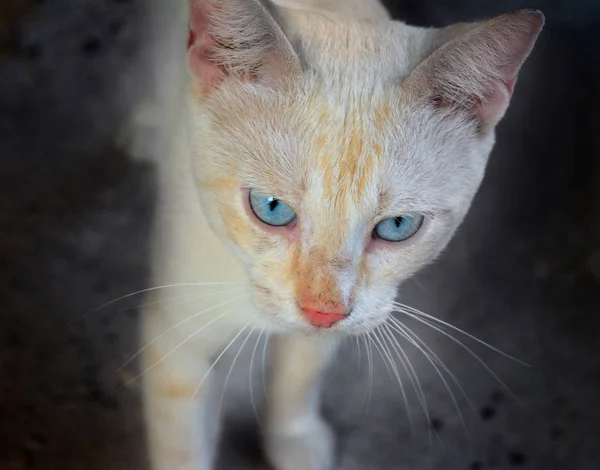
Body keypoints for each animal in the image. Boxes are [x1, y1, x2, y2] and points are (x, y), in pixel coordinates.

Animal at [136, 0, 544, 468]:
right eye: (271, 208)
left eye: (397, 226)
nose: (323, 311)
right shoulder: (176, 337)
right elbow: (182, 441)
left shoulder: (347, 320)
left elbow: (299, 374)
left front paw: (292, 438)